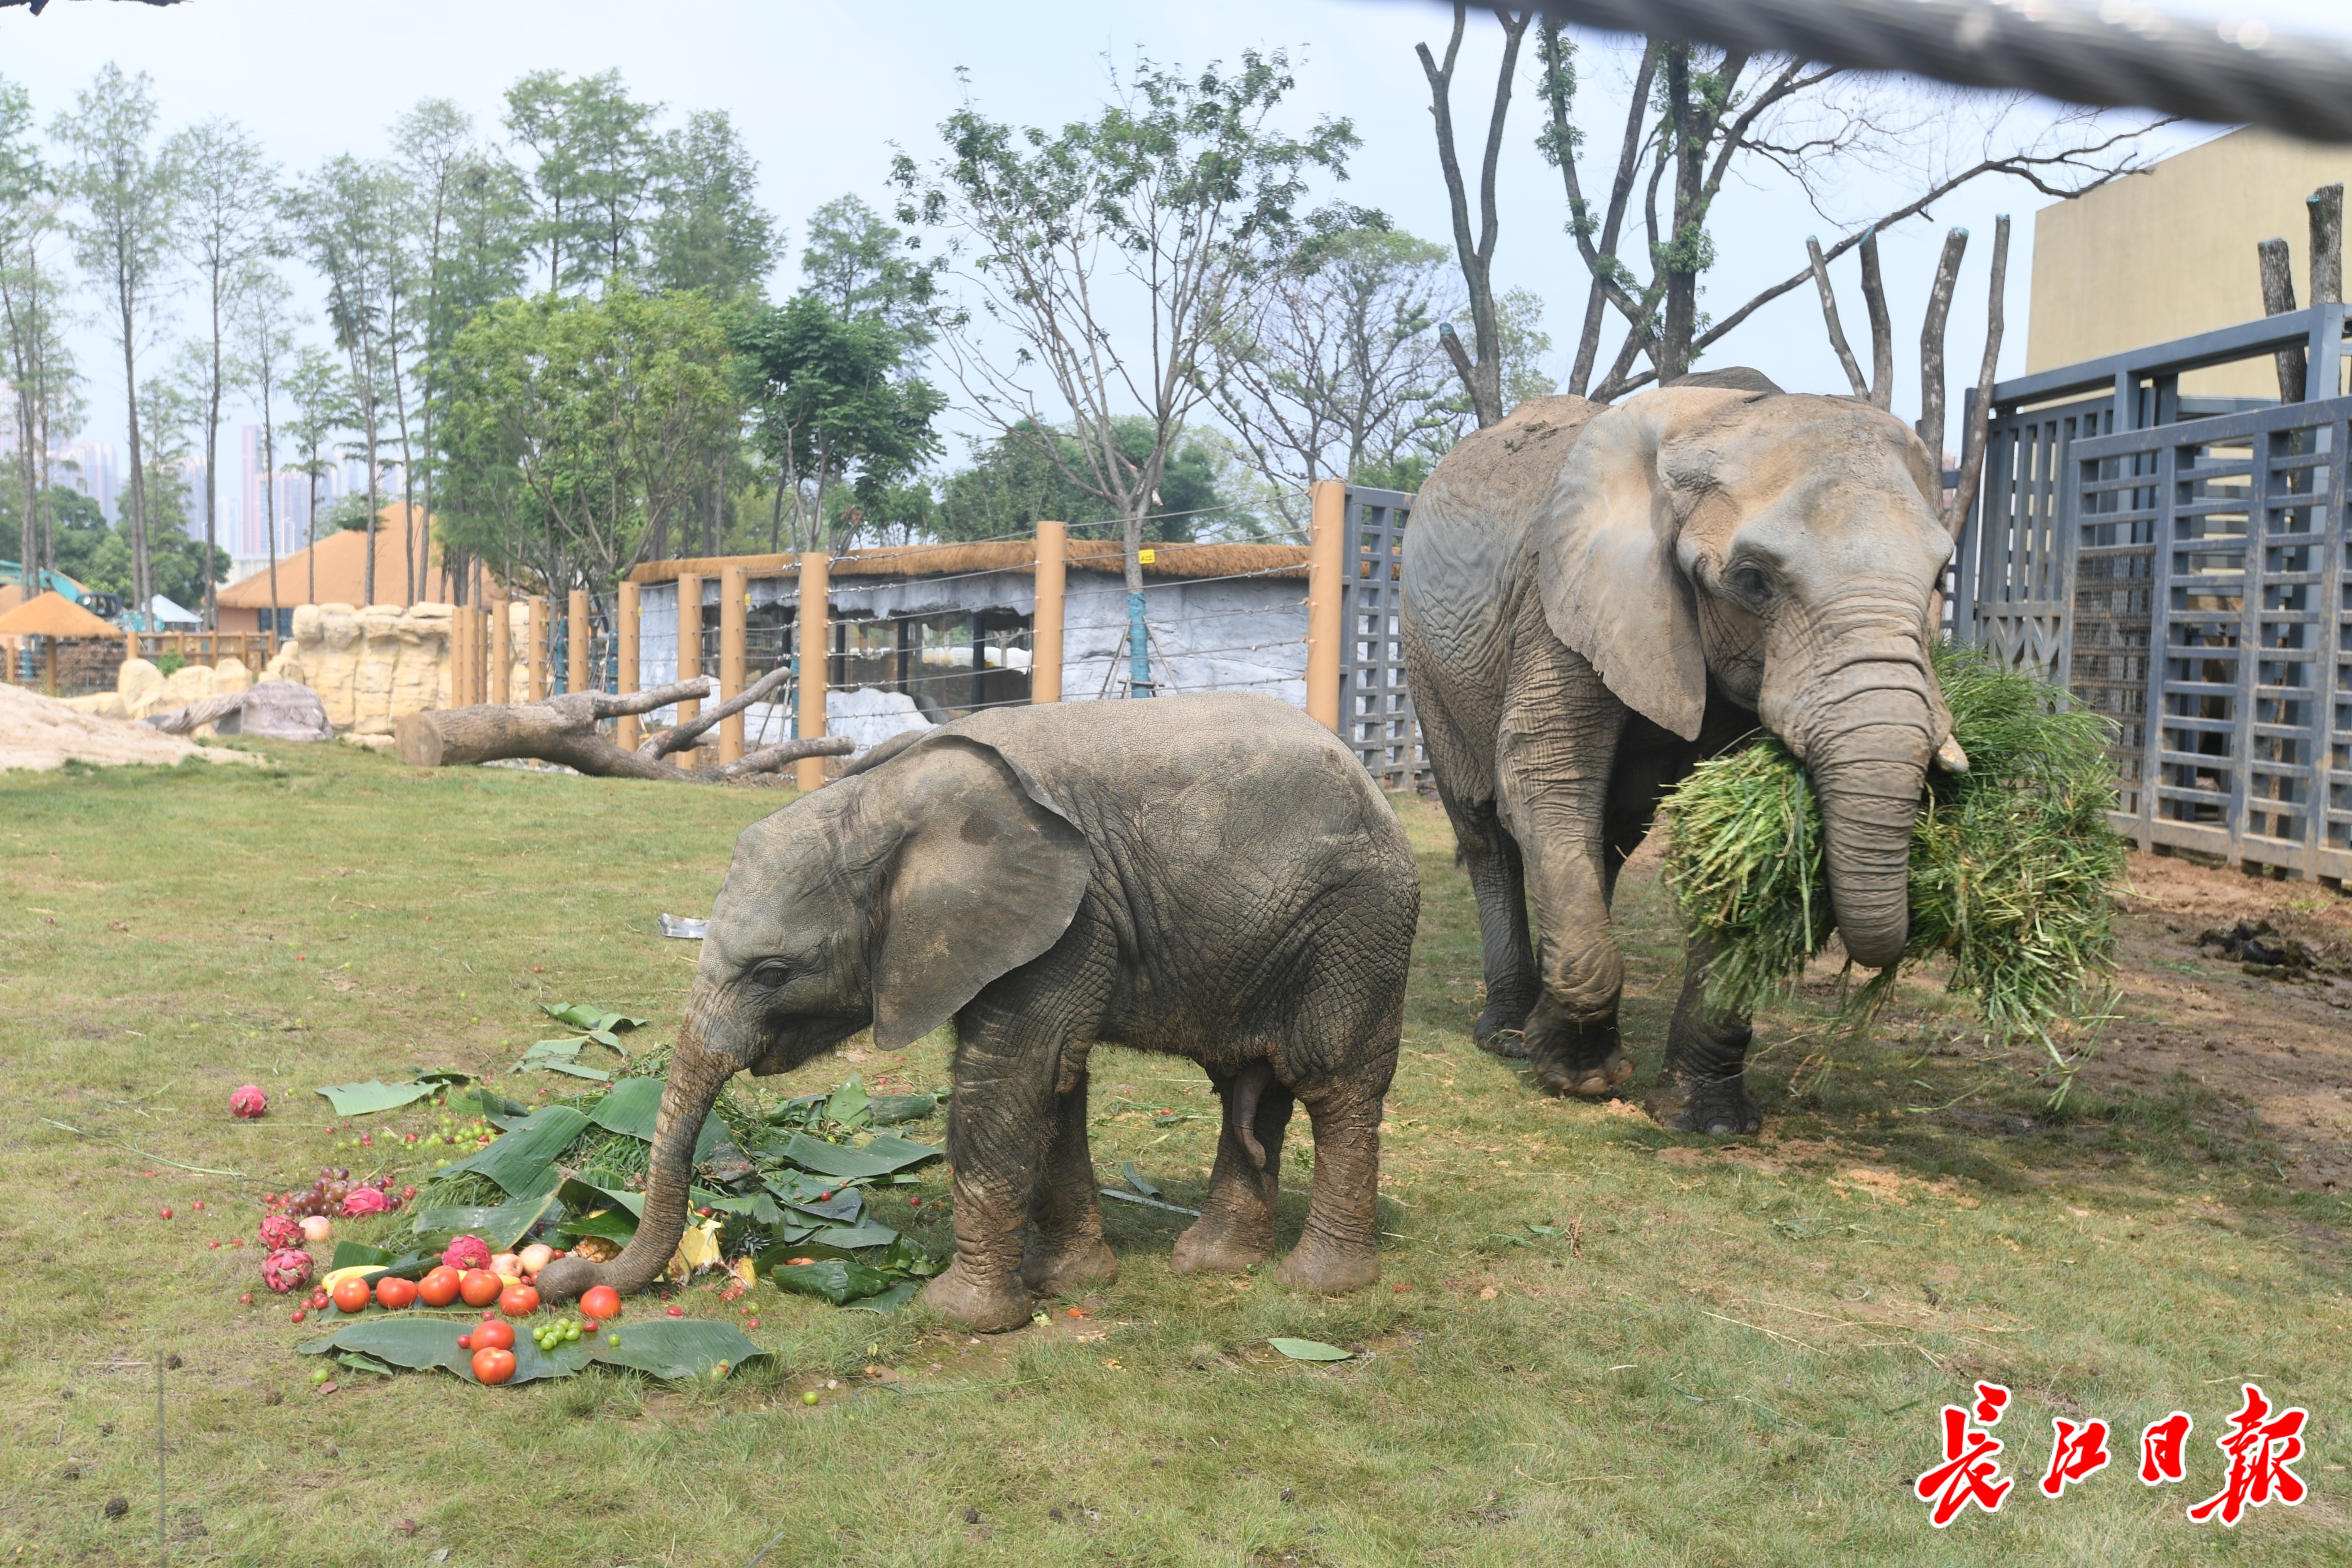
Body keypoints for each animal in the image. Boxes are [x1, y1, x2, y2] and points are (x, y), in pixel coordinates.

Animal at [538, 691, 1411, 1335]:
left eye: (774, 972)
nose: (566, 1275)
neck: (877, 802)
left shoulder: (1068, 918)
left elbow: (1009, 1081)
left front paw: (960, 1317)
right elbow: (1058, 1087)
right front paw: (1068, 1284)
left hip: (1358, 925)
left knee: (1334, 1084)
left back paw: (1319, 1284)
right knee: (1253, 1091)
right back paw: (1215, 1263)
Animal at [1392, 373, 1966, 1133]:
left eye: (1940, 580)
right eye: (1753, 580)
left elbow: (1735, 836)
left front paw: (1708, 1121)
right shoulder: (1564, 598)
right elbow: (1544, 776)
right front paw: (1579, 1076)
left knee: (1609, 834)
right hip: (1426, 652)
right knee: (1486, 825)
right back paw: (1510, 1036)